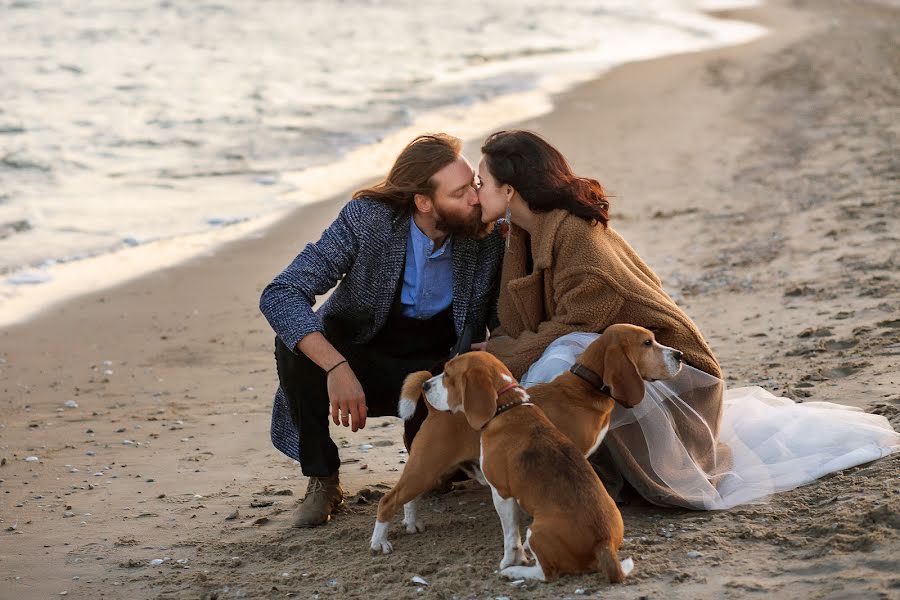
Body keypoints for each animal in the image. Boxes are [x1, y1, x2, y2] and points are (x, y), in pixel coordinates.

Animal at [368, 324, 684, 556]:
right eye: (647, 343)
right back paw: (379, 542)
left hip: (432, 470)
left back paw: (412, 523)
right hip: (426, 466)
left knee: (409, 498)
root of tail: (437, 407)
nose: (679, 355)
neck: (586, 387)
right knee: (387, 500)